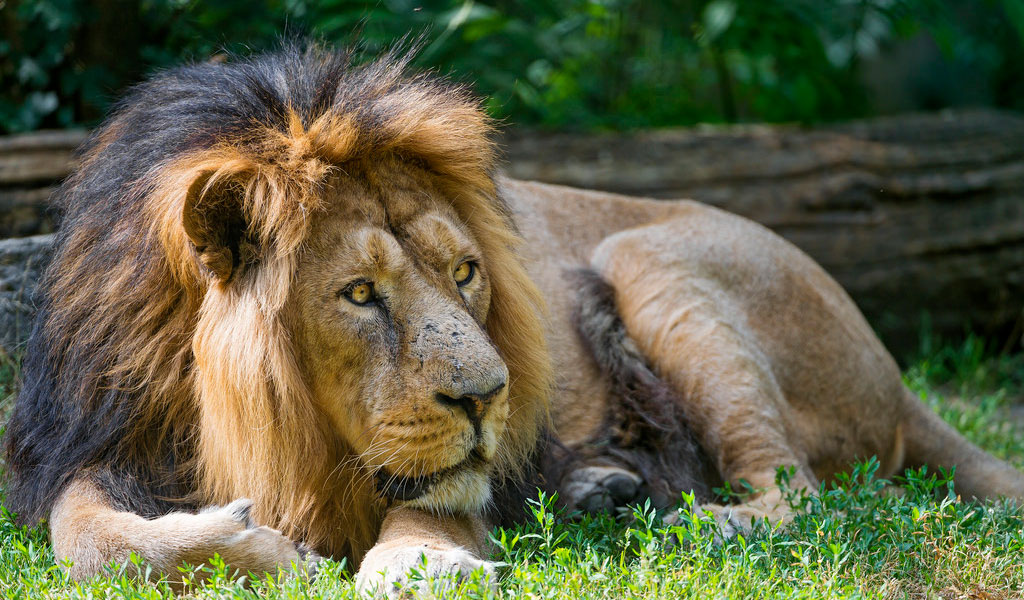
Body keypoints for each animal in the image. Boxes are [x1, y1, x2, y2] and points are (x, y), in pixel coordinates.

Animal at [4, 44, 1024, 595]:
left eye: (466, 274)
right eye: (360, 294)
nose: (487, 399)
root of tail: (896, 378)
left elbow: (436, 511)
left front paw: (420, 570)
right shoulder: (97, 435)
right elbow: (85, 538)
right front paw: (257, 550)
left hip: (649, 257)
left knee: (801, 496)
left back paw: (677, 522)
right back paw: (605, 490)